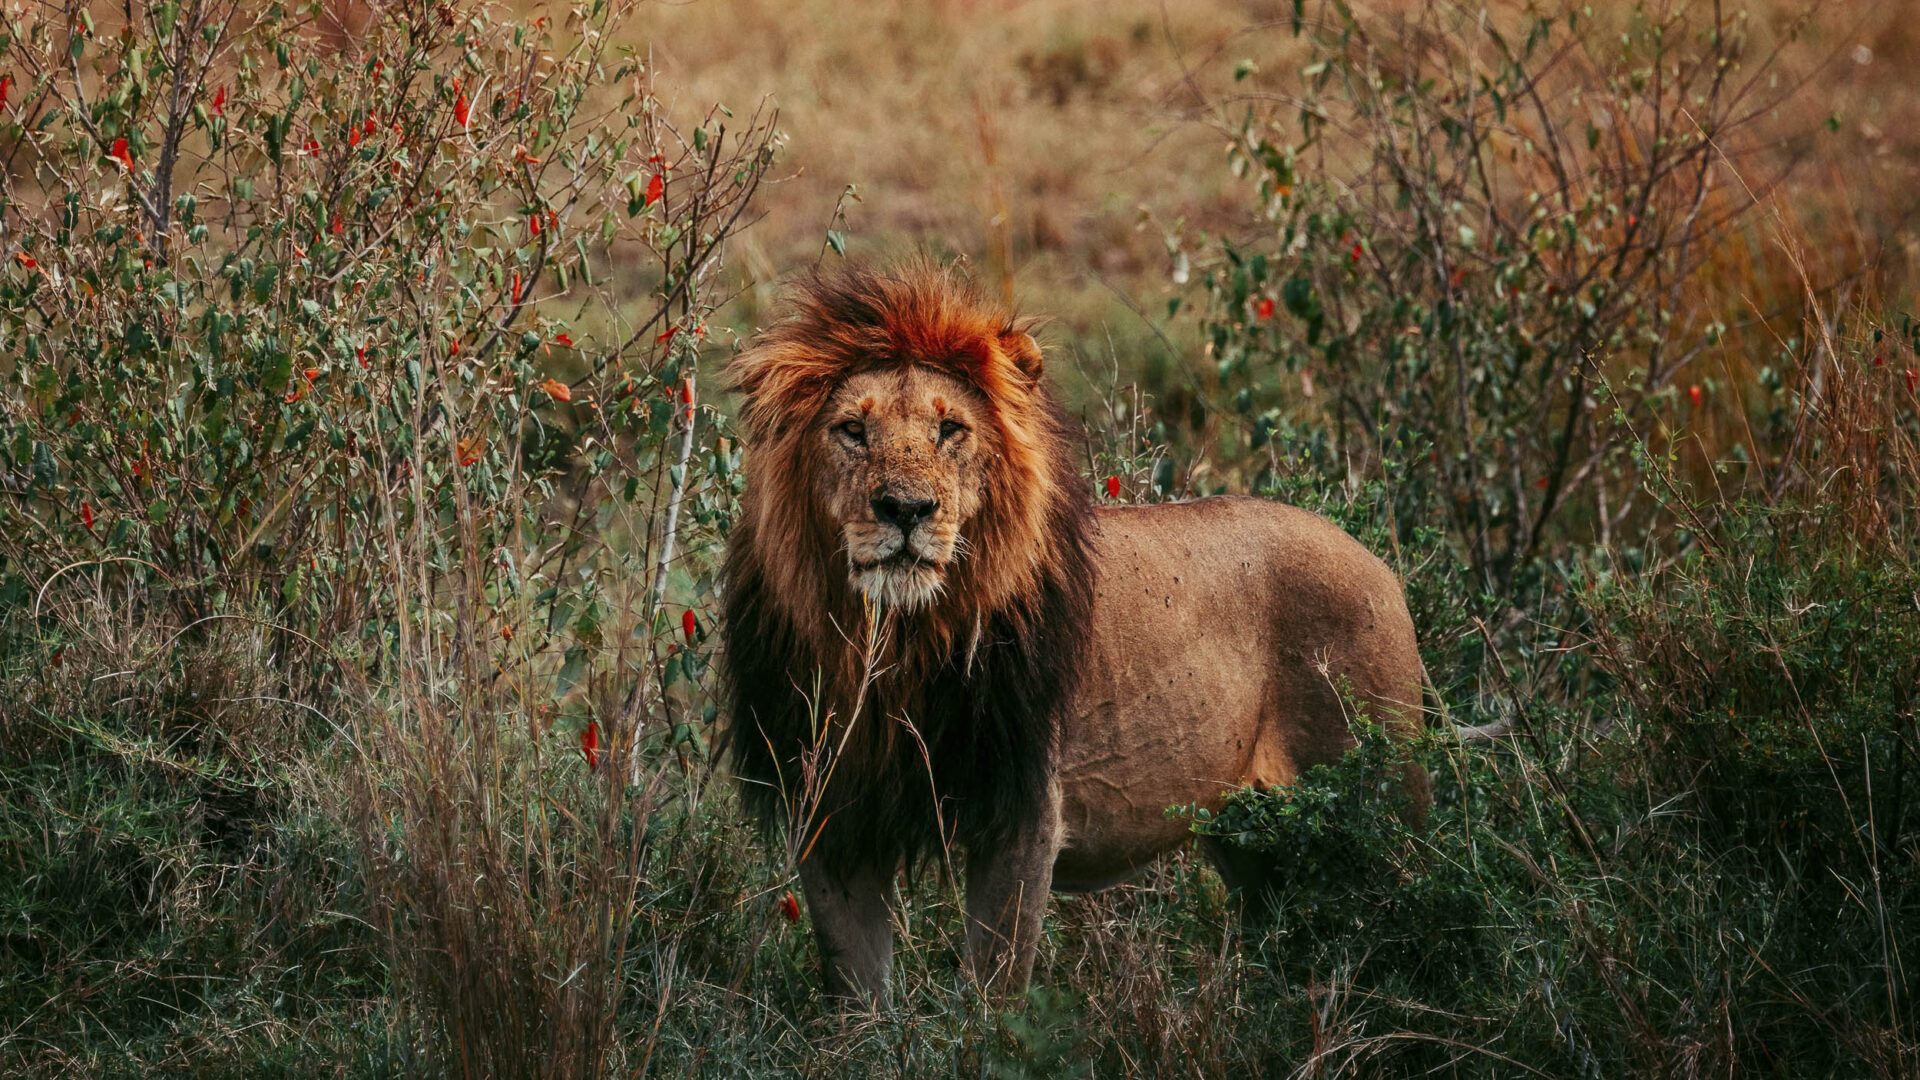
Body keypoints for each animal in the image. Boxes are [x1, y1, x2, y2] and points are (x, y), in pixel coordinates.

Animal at [721, 263, 1429, 1000]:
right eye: (852, 430)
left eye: (951, 430)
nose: (907, 509)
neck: (897, 646)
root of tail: (1378, 562)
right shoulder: (829, 816)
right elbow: (856, 990)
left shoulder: (1022, 813)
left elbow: (993, 987)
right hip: (1249, 836)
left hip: (1384, 795)